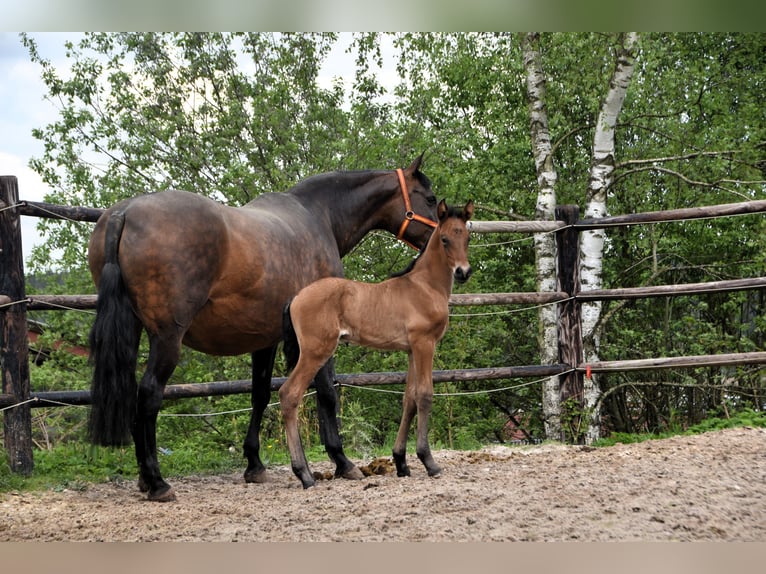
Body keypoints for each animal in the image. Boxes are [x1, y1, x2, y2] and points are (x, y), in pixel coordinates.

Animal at [85, 155, 438, 502]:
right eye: (431, 198)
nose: (436, 242)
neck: (317, 215)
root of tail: (124, 213)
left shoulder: (264, 340)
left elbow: (259, 394)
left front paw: (254, 464)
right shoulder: (318, 338)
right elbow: (325, 393)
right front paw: (341, 461)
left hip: (133, 331)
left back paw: (145, 480)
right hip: (167, 338)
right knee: (149, 396)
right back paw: (157, 482)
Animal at [282, 200, 474, 488]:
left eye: (468, 237)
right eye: (445, 239)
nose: (463, 272)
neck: (425, 287)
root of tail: (295, 298)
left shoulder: (411, 350)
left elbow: (409, 399)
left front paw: (401, 462)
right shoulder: (424, 343)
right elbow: (425, 395)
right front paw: (429, 462)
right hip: (315, 352)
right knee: (289, 395)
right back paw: (304, 475)